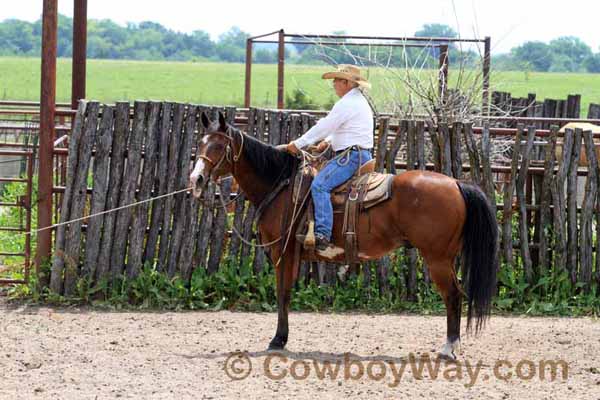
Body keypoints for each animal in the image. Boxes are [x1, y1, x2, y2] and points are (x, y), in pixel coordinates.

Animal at [192, 111, 496, 360]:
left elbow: (283, 293)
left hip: (437, 258)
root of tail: (456, 183)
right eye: (200, 143)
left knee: (453, 295)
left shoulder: (283, 252)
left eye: (219, 146)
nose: (195, 179)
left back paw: (448, 348)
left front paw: (278, 340)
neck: (281, 184)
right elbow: (286, 293)